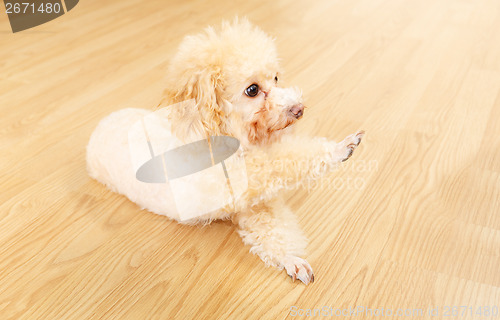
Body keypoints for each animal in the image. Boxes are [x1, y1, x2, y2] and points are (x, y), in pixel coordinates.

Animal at [87, 19, 364, 284]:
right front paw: (339, 149)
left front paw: (291, 259)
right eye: (252, 90)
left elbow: (273, 229)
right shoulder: (228, 184)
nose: (299, 109)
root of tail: (98, 127)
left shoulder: (254, 206)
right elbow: (278, 162)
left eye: (275, 78)